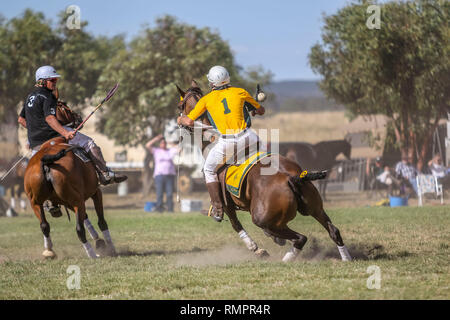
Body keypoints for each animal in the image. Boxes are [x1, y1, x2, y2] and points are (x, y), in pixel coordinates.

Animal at [176, 80, 352, 262]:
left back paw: (286, 259)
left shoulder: (227, 204)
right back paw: (346, 258)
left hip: (262, 218)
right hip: (314, 207)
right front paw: (275, 240)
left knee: (300, 238)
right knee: (333, 231)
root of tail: (290, 178)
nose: (179, 122)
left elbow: (236, 225)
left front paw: (258, 249)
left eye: (180, 106)